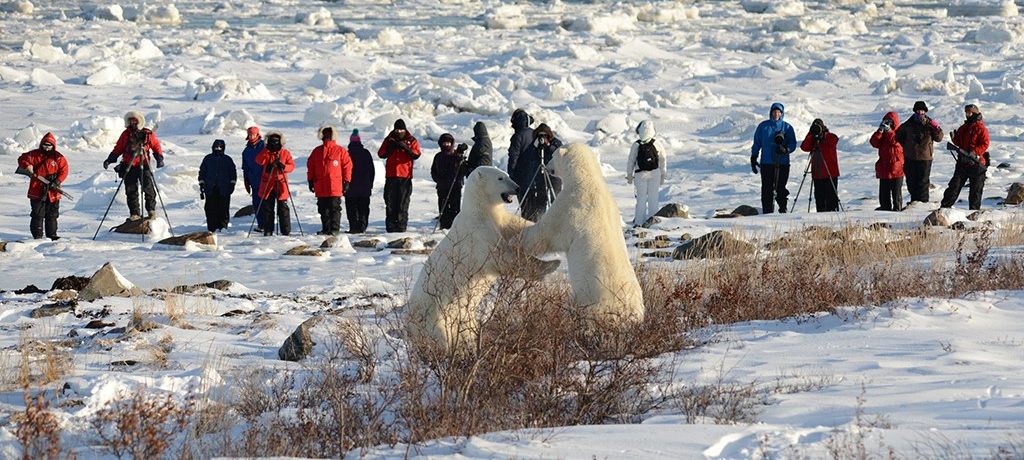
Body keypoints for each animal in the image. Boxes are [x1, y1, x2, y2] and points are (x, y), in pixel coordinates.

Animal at [403, 166, 561, 352]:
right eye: (500, 178)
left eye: (507, 175)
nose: (517, 188)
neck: (479, 210)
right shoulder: (478, 234)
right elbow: (502, 258)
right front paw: (551, 265)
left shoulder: (499, 221)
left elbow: (517, 226)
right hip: (433, 316)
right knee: (441, 338)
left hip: (462, 316)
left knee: (466, 332)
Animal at [524, 143, 643, 325]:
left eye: (552, 155)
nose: (547, 167)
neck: (586, 178)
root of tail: (629, 312)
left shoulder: (569, 206)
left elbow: (546, 234)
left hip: (594, 301)